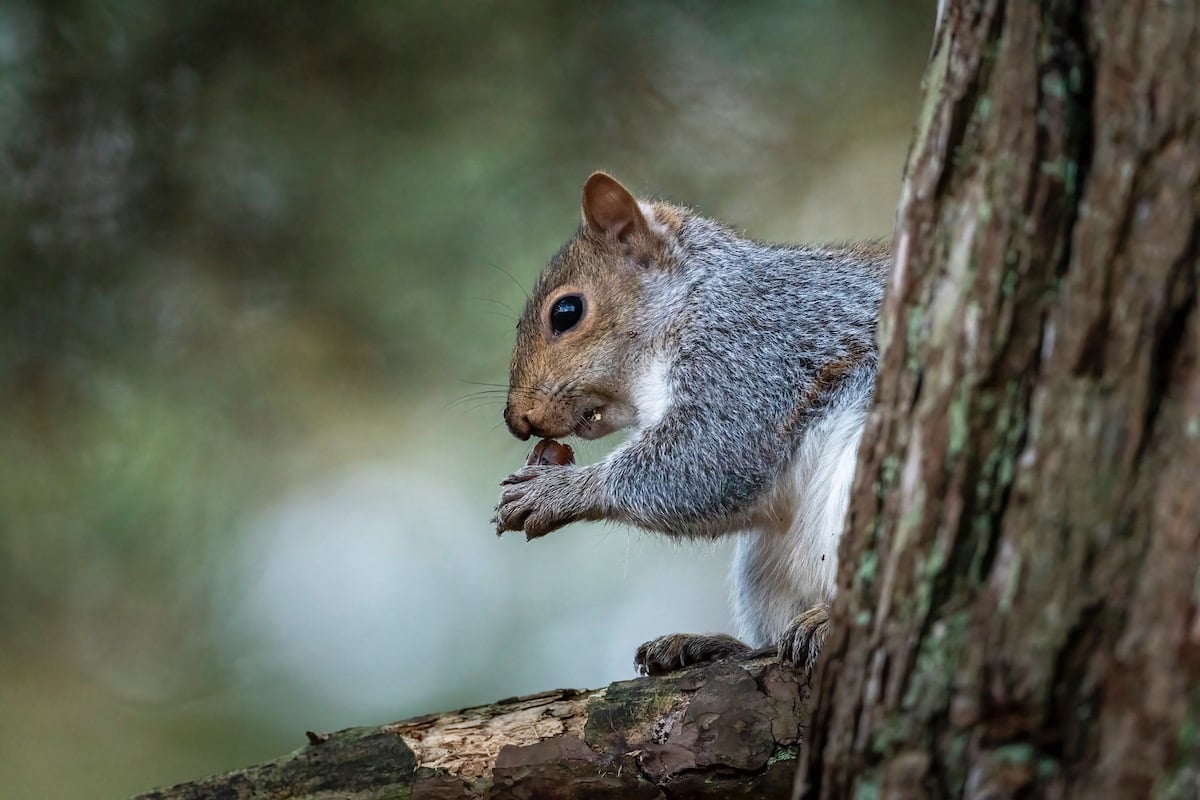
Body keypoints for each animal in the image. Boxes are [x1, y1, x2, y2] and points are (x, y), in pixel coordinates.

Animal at [492, 172, 888, 674]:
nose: (517, 420)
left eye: (566, 312)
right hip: (764, 568)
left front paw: (558, 491)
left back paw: (822, 622)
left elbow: (710, 457)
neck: (691, 300)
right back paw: (713, 645)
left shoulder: (750, 354)